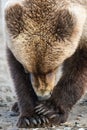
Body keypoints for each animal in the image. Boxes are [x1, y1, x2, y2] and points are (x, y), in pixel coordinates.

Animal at [3, 0, 87, 128]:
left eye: (52, 68)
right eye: (27, 69)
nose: (42, 94)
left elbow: (78, 70)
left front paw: (49, 109)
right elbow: (17, 72)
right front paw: (31, 117)